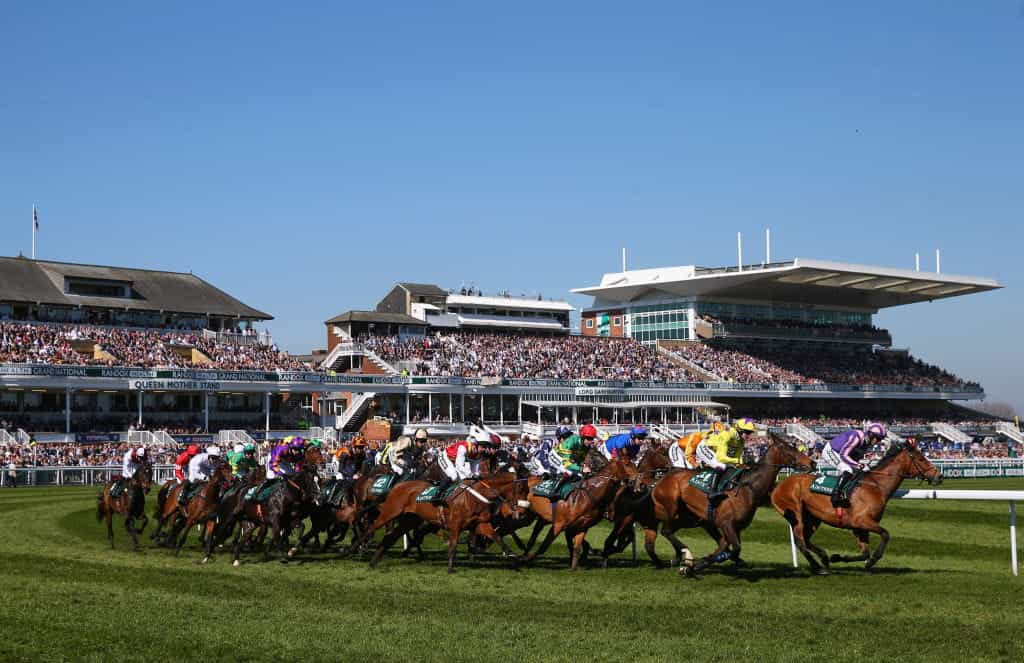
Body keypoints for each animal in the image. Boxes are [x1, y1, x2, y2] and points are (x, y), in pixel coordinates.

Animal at [770, 440, 937, 573]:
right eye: (921, 459)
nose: (938, 476)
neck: (875, 486)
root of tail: (779, 486)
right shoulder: (861, 521)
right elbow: (885, 534)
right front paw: (873, 560)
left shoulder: (860, 528)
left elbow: (865, 553)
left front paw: (837, 557)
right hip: (795, 513)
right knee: (799, 540)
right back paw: (817, 566)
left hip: (813, 518)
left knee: (805, 539)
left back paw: (824, 558)